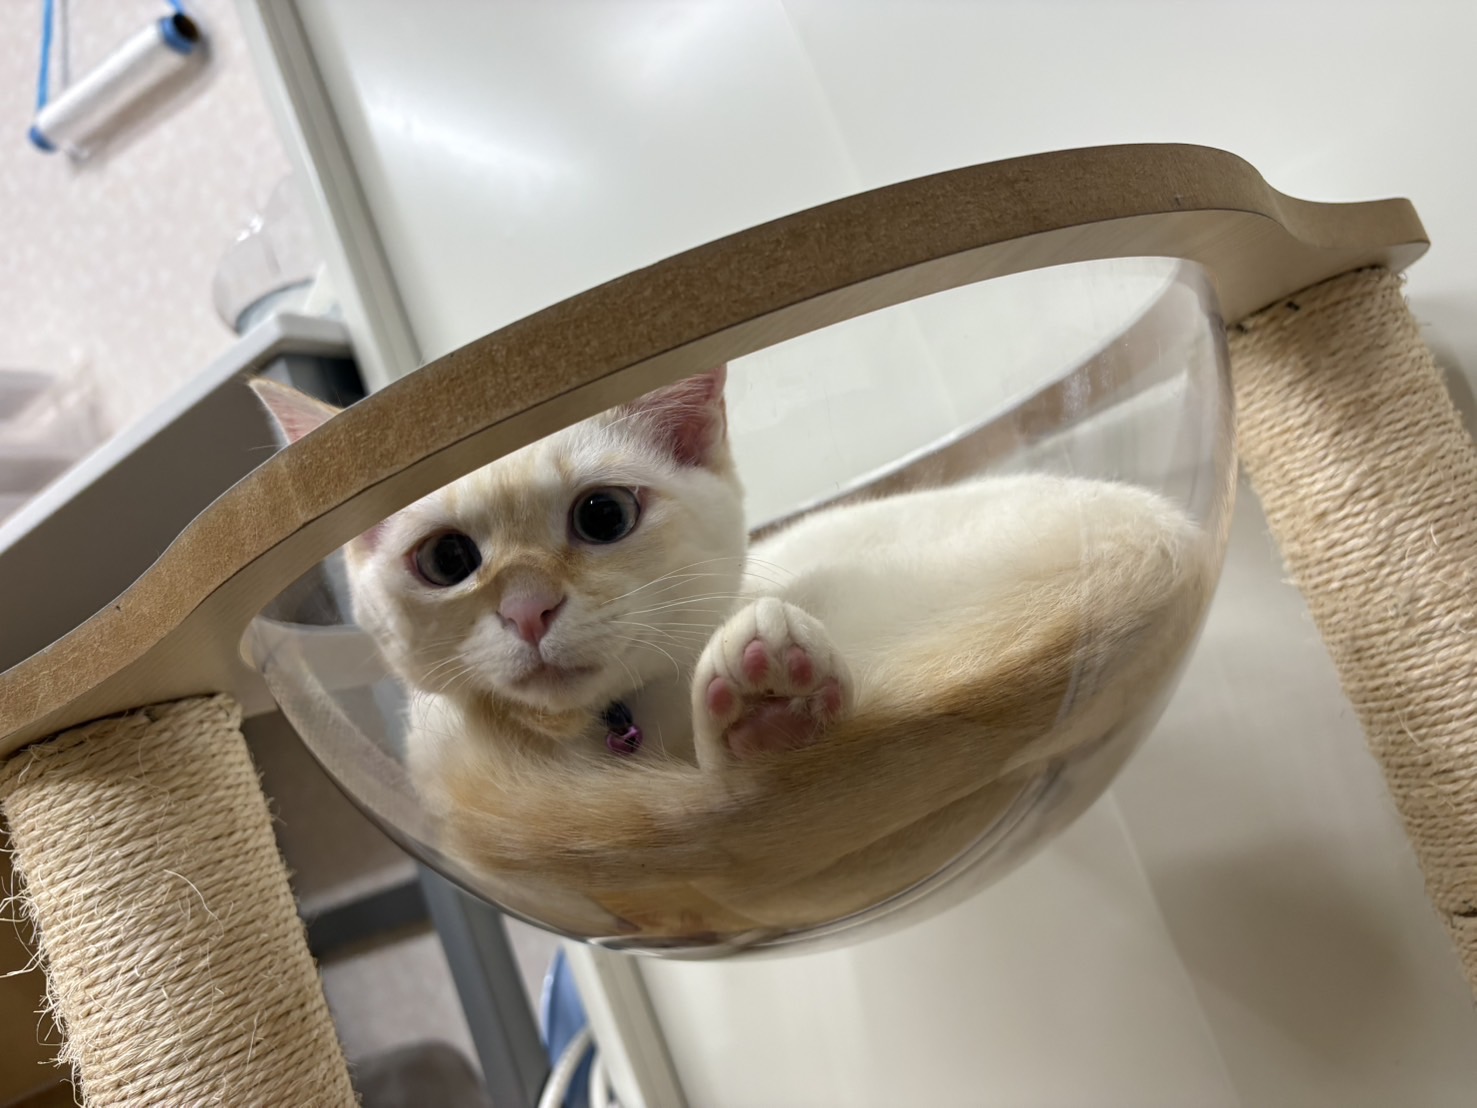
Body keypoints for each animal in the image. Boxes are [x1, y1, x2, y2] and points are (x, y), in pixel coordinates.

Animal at [254, 369, 1213, 942]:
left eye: (602, 516)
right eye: (448, 560)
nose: (528, 609)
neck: (616, 733)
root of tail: (1157, 553)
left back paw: (771, 712)